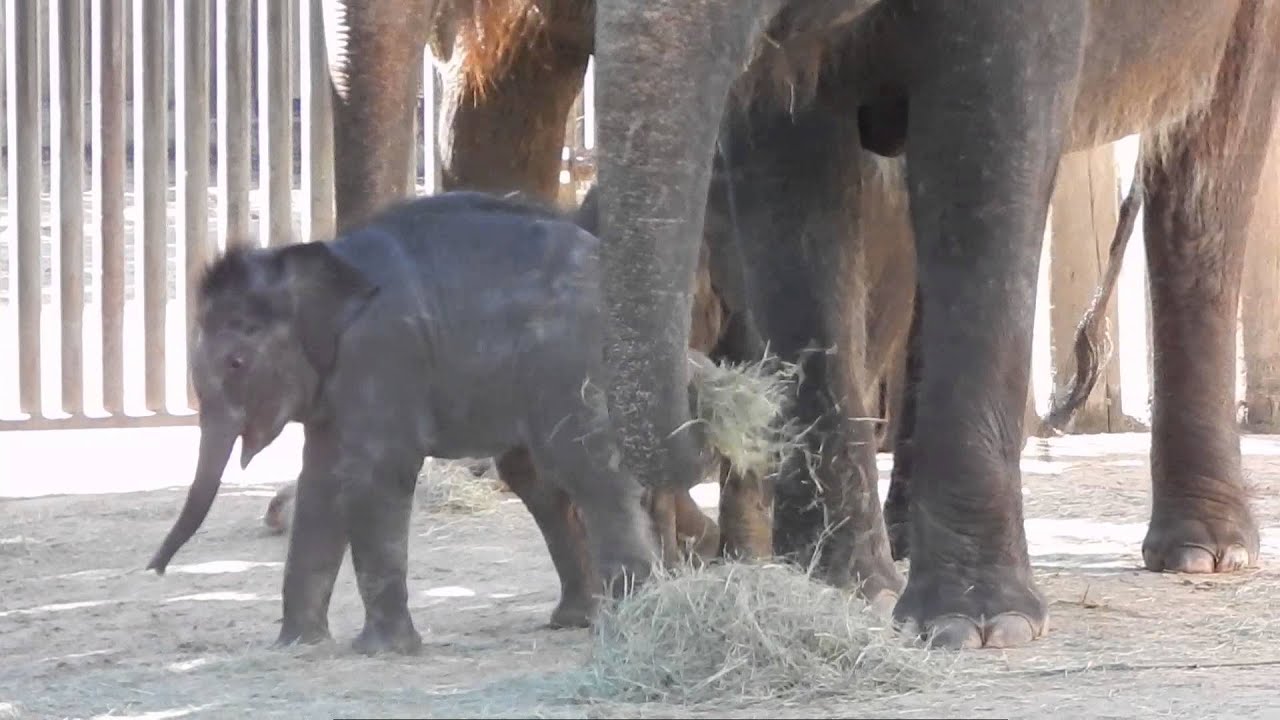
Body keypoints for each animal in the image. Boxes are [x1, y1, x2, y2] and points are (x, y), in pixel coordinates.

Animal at [147, 191, 665, 652]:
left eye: (236, 363)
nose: (155, 571)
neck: (317, 263)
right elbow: (320, 482)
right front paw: (296, 646)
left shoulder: (382, 352)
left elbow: (375, 475)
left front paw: (382, 650)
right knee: (537, 481)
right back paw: (576, 619)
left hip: (567, 358)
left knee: (585, 467)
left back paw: (630, 622)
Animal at [591, 0, 1280, 649]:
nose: (710, 403)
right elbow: (787, 187)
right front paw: (840, 589)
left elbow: (979, 162)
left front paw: (976, 626)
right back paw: (898, 544)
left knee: (1205, 181)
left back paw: (1203, 552)